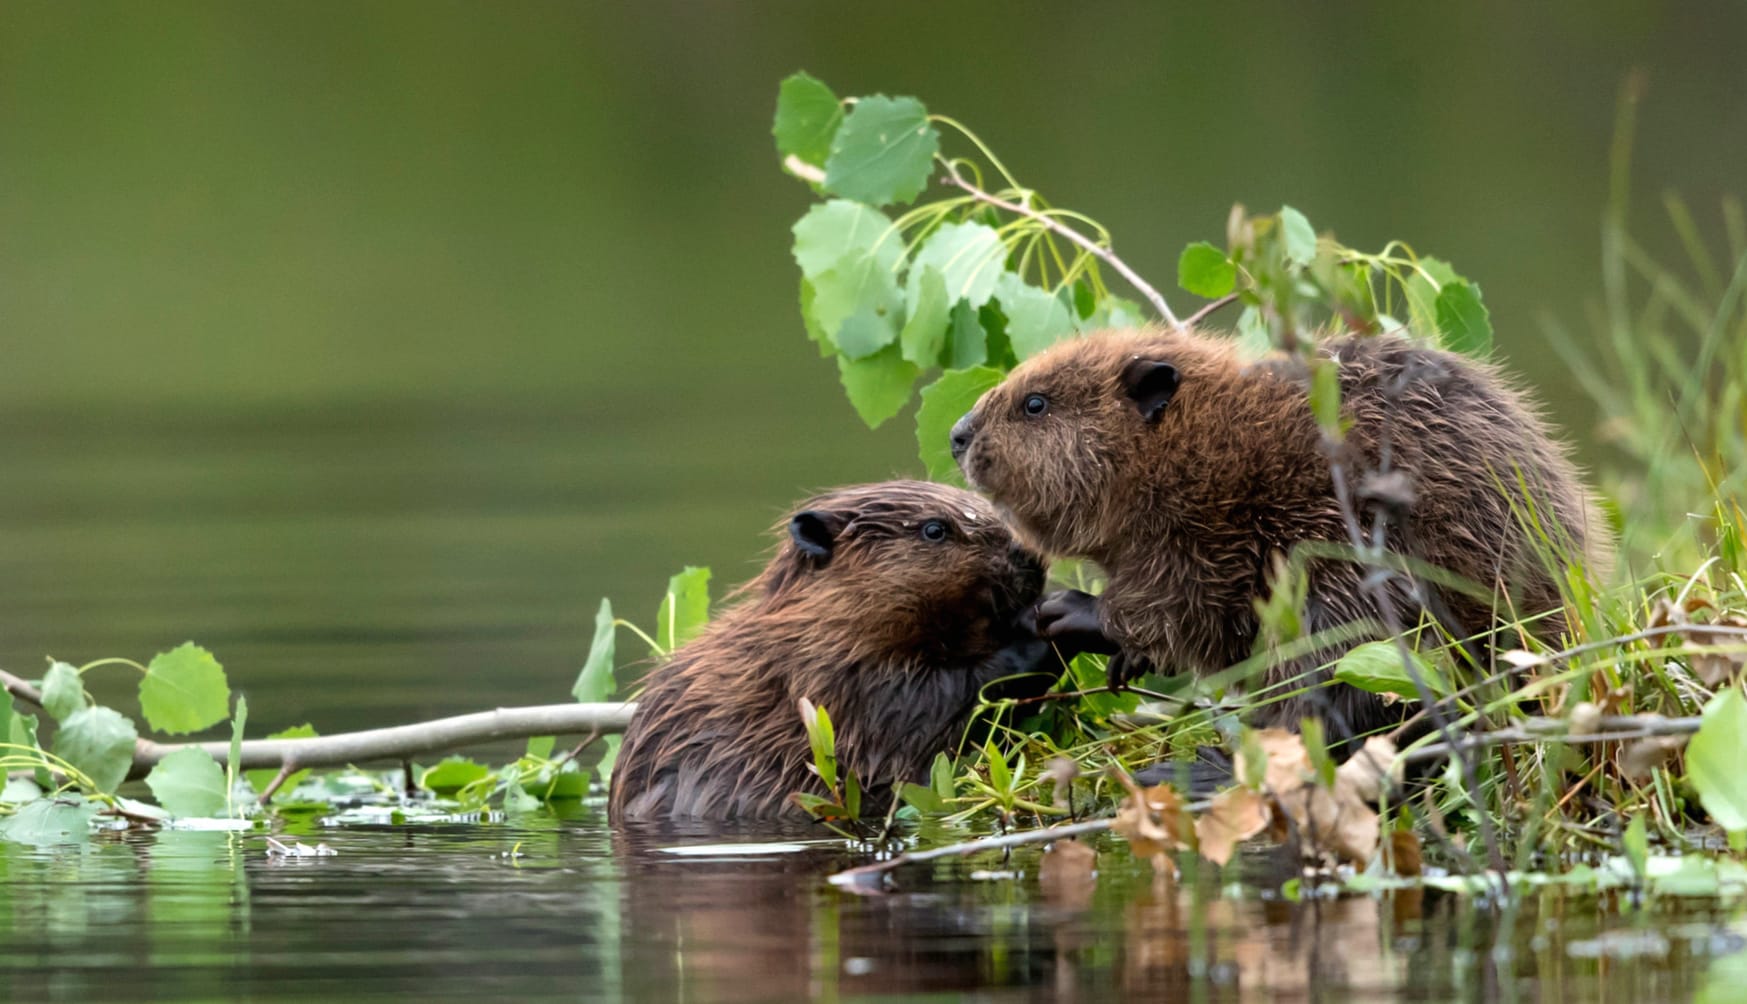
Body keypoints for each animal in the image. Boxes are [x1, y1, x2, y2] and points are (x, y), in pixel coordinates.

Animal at [607, 481, 1055, 824]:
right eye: (934, 529)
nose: (1029, 554)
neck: (811, 622)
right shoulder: (825, 673)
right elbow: (914, 704)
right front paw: (1040, 634)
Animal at [957, 328, 1607, 740]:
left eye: (1035, 403)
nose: (958, 434)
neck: (1202, 438)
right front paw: (1122, 659)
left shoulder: (1212, 523)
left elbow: (1187, 606)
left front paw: (1072, 611)